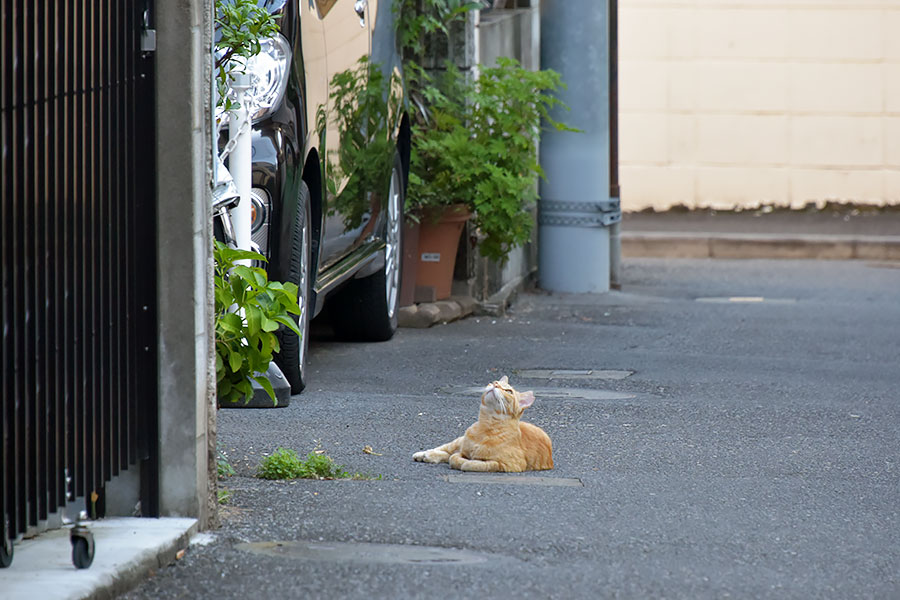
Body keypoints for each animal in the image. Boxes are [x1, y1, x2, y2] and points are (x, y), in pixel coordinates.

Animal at [412, 376, 552, 474]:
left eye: (508, 391)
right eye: (495, 381)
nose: (495, 384)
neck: (487, 425)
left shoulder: (511, 465)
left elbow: (480, 464)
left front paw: (468, 463)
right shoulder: (463, 449)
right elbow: (454, 457)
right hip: (458, 442)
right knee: (445, 449)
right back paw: (424, 454)